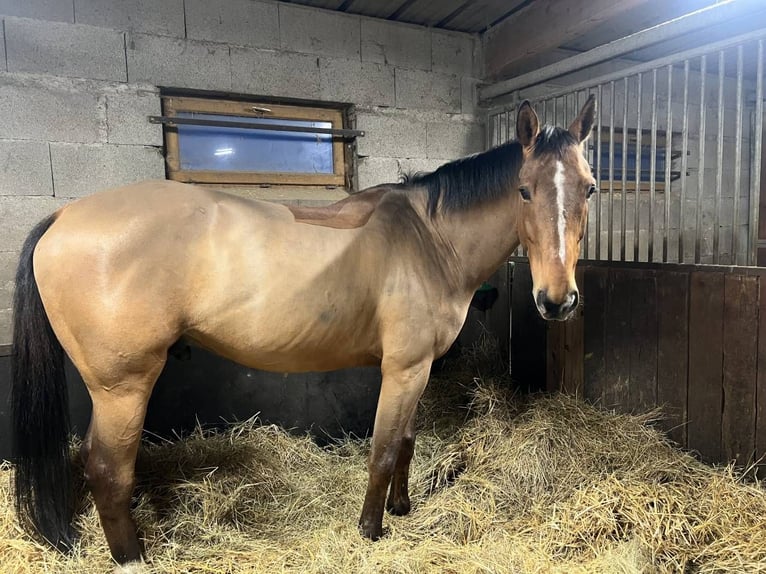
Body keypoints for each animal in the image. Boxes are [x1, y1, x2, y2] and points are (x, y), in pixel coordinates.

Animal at [11, 96, 596, 571]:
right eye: (523, 190)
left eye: (589, 188)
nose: (557, 300)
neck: (428, 239)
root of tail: (63, 217)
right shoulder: (403, 369)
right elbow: (384, 448)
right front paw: (371, 529)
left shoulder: (418, 369)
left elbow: (406, 442)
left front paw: (402, 508)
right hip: (122, 388)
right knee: (107, 470)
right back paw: (133, 558)